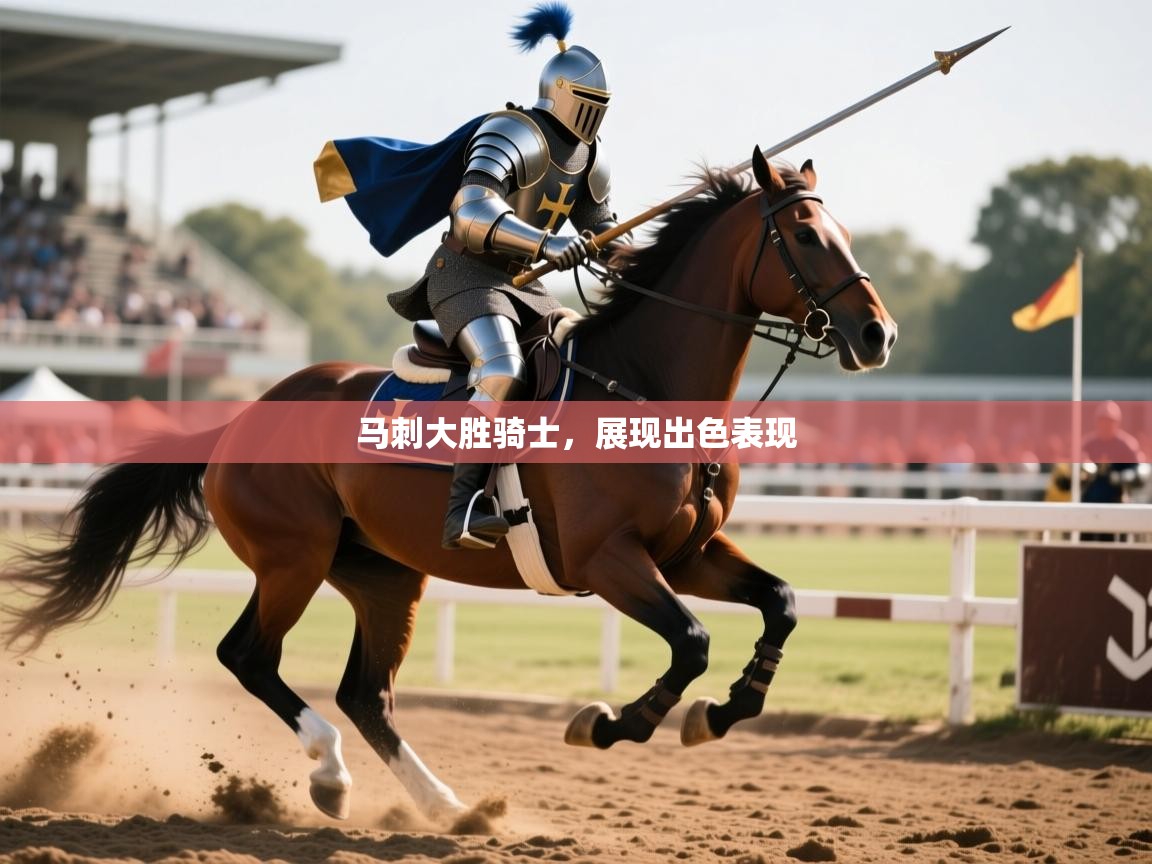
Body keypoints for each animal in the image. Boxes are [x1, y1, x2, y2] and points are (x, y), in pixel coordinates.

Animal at [2, 147, 896, 823]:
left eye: (848, 233)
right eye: (808, 236)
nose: (877, 333)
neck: (640, 383)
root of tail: (242, 417)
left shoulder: (688, 554)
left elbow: (779, 604)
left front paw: (721, 713)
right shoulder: (610, 562)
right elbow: (692, 641)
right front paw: (611, 723)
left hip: (384, 575)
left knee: (368, 695)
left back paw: (445, 807)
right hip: (293, 558)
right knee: (249, 656)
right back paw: (330, 774)